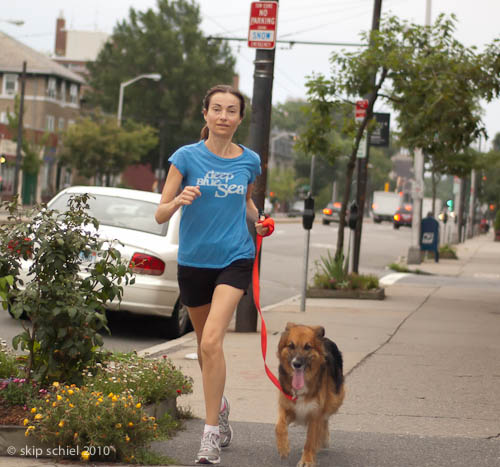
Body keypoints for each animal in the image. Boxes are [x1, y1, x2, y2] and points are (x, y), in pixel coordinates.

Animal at [276, 322, 346, 467]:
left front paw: (307, 460)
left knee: (325, 418)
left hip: (335, 398)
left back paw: (323, 439)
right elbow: (279, 426)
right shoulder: (288, 407)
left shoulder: (315, 413)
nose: (296, 364)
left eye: (307, 347)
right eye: (291, 345)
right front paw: (283, 447)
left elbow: (310, 440)